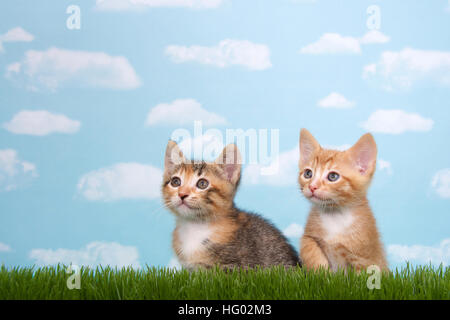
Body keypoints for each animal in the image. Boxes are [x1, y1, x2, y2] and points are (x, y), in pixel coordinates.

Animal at [298, 129, 388, 272]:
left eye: (333, 176)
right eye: (308, 173)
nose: (312, 186)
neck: (335, 215)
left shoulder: (366, 257)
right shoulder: (309, 236)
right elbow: (310, 251)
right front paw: (320, 272)